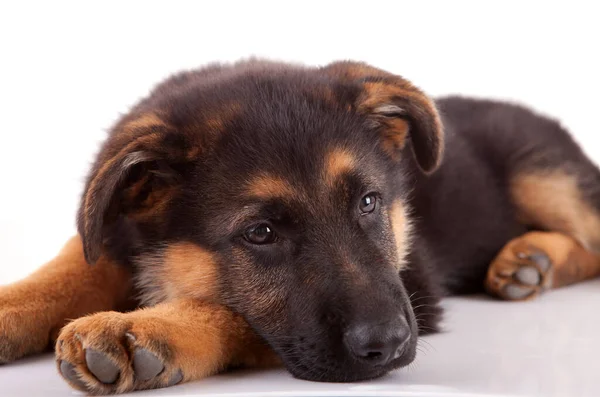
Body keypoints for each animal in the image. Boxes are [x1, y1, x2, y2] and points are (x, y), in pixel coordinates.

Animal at [1, 58, 600, 392]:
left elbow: (233, 313)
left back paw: (531, 260)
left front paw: (149, 330)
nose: (389, 344)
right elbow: (70, 267)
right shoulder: (108, 233)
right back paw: (526, 262)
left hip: (544, 173)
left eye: (369, 203)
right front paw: (12, 306)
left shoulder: (417, 287)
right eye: (261, 233)